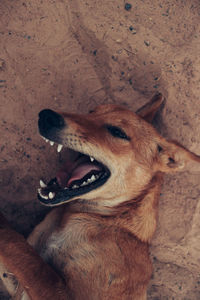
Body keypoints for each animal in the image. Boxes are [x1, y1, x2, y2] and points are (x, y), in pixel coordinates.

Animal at [0, 92, 200, 298]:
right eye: (91, 112)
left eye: (118, 132)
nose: (47, 116)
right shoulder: (18, 279)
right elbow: (22, 255)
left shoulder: (67, 293)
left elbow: (24, 253)